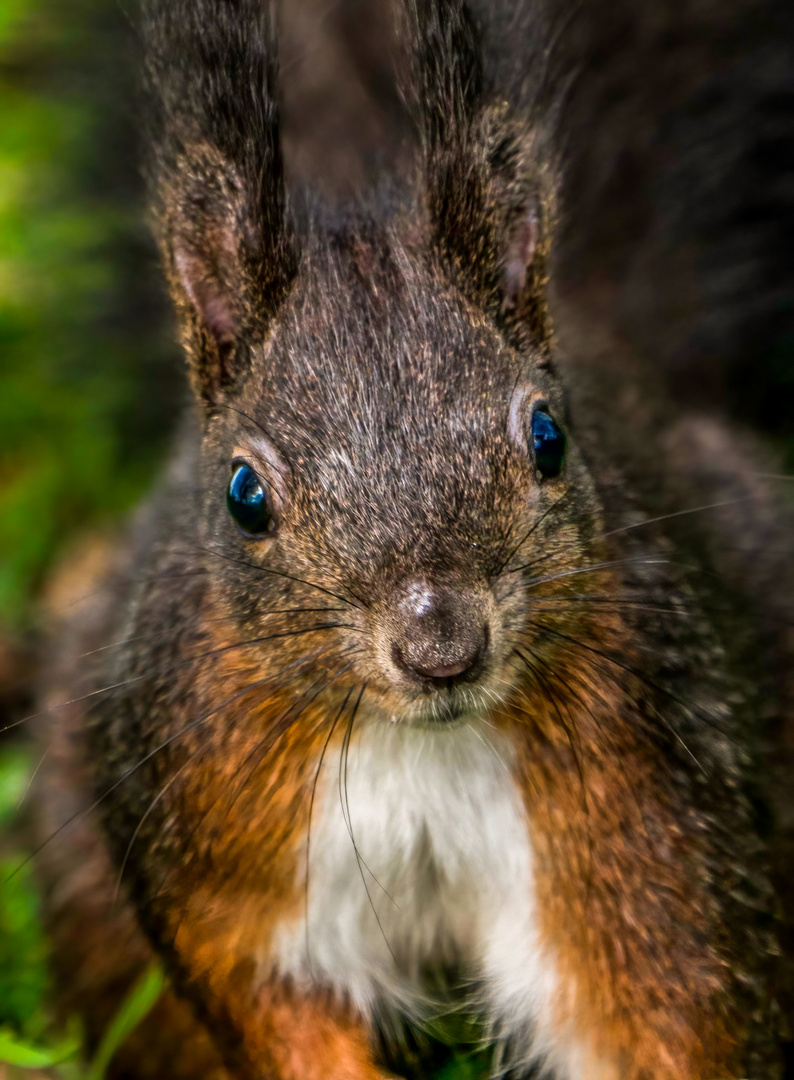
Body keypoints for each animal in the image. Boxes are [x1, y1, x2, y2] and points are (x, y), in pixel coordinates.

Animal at [31, 2, 794, 1080]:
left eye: (548, 436)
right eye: (243, 495)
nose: (441, 648)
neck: (415, 745)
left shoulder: (649, 800)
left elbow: (669, 1011)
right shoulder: (220, 830)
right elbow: (270, 1002)